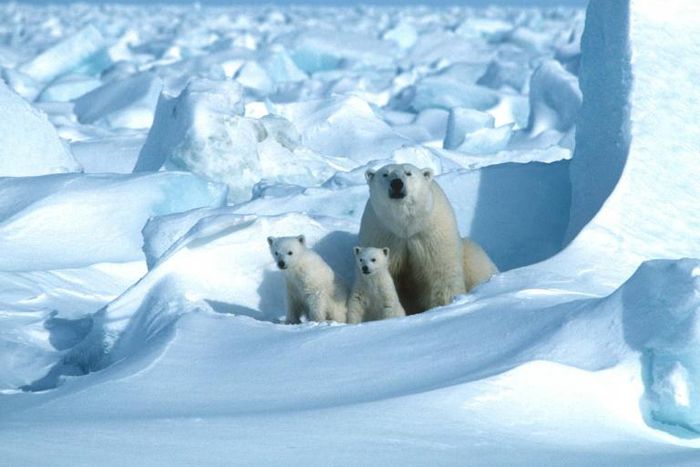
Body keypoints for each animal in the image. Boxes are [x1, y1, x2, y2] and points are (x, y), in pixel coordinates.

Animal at [358, 163, 498, 315]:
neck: (406, 227)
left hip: (473, 257)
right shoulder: (382, 234)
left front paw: (444, 305)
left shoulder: (431, 235)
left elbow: (441, 273)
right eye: (385, 174)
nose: (397, 183)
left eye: (408, 173)